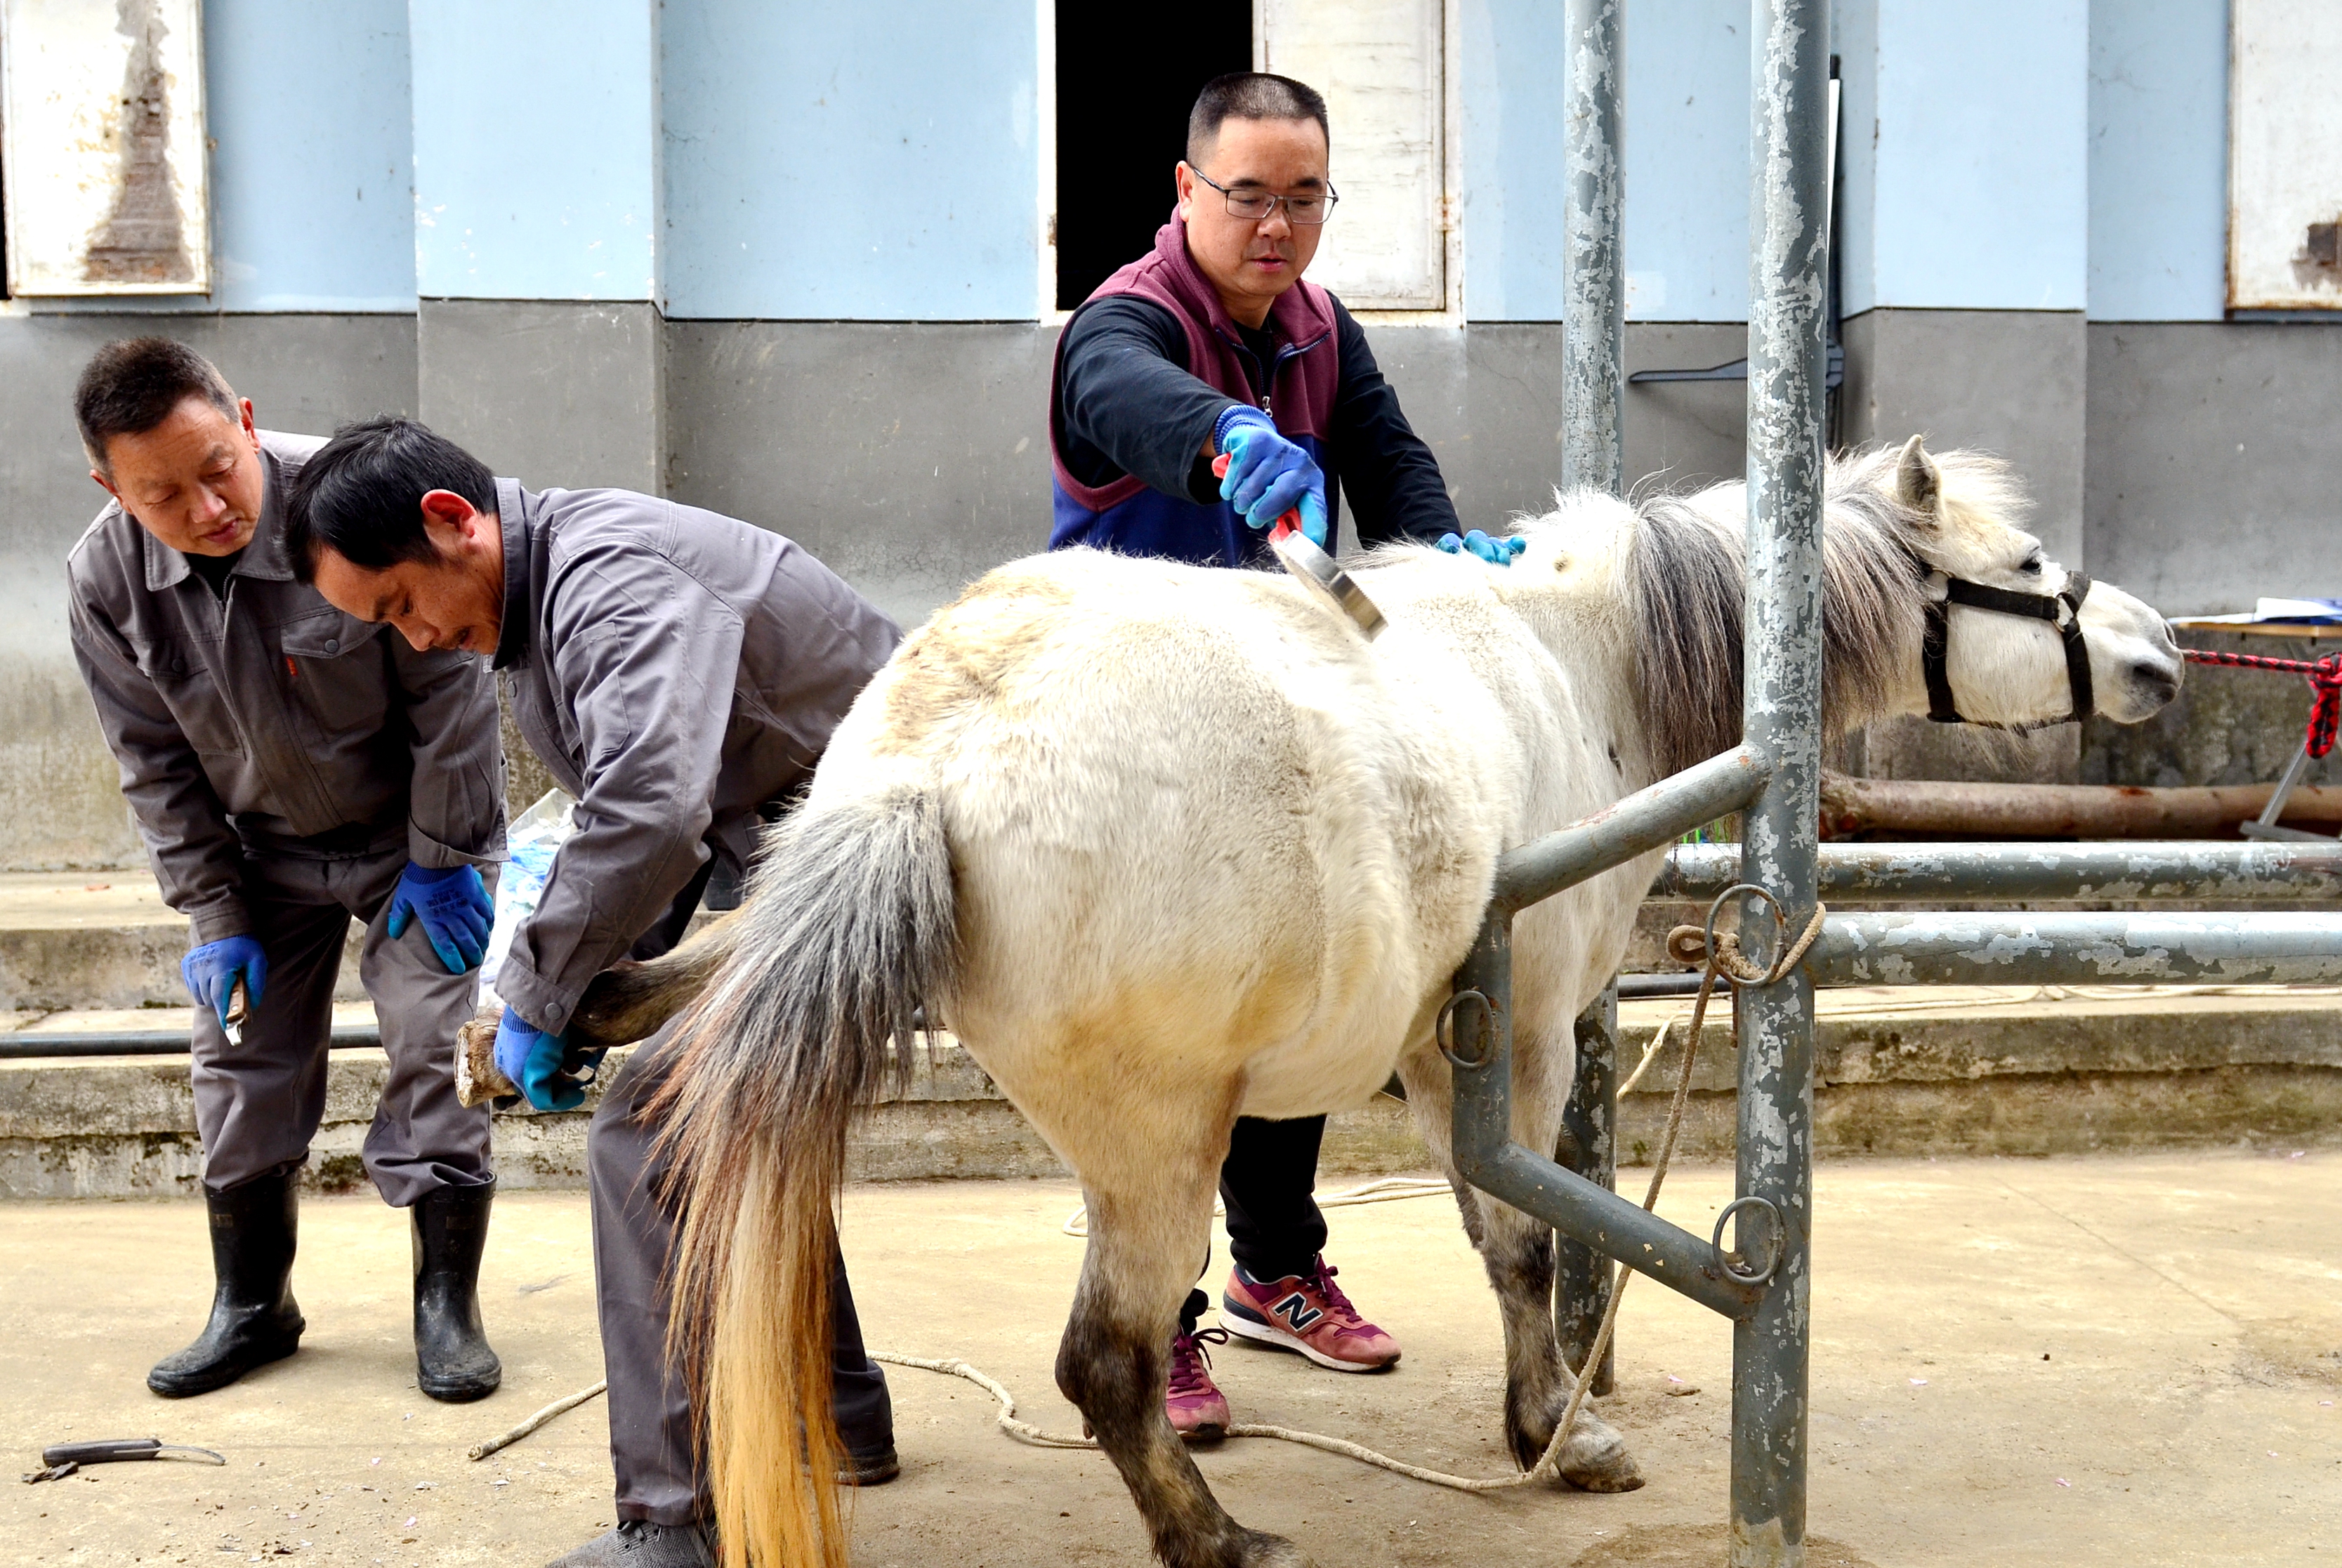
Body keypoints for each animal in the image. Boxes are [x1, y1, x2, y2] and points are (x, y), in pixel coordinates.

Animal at [585, 435, 2173, 1568]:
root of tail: (922, 768)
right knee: (1107, 1360)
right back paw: (1218, 1540)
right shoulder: (1517, 1038)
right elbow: (1525, 1242)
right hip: (1154, 1141)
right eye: (2025, 559)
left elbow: (1494, 1226)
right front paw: (1558, 1435)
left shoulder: (1433, 1044)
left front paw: (1551, 1411)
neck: (1571, 657)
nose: (2159, 659)